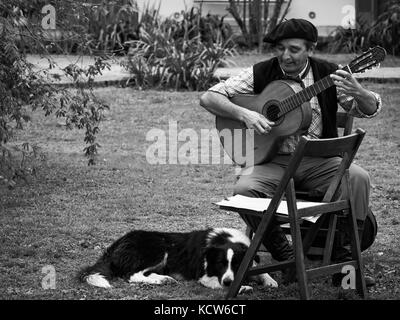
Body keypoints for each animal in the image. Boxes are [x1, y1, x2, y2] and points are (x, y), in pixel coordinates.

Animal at [78, 226, 278, 292]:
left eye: (236, 264)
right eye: (220, 264)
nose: (229, 282)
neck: (225, 240)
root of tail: (118, 242)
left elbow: (259, 269)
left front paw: (270, 280)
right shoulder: (205, 276)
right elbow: (218, 283)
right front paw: (242, 287)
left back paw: (164, 279)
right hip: (159, 248)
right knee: (132, 275)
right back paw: (162, 280)